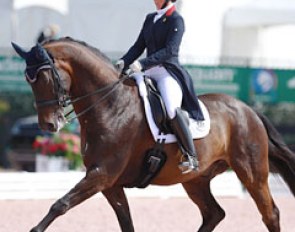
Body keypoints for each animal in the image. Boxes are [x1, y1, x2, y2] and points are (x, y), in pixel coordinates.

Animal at [11, 37, 295, 231]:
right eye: (27, 80)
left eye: (45, 77)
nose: (49, 125)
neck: (111, 104)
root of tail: (249, 110)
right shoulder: (109, 184)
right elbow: (126, 223)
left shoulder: (101, 175)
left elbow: (60, 204)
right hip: (196, 179)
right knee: (214, 213)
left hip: (252, 173)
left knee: (270, 213)